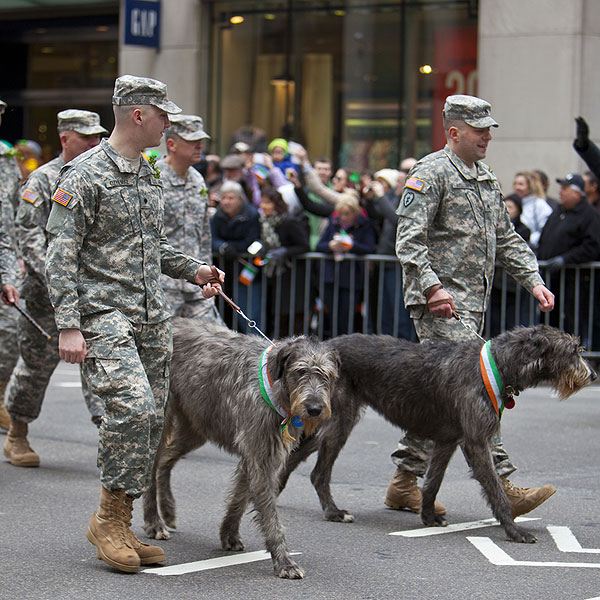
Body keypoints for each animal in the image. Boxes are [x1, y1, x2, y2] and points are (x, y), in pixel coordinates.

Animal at [141, 322, 338, 580]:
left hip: (197, 426)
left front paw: (229, 534)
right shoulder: (260, 451)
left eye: (327, 375)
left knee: (165, 459)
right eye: (300, 372)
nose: (315, 409)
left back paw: (168, 508)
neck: (276, 386)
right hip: (162, 415)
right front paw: (284, 561)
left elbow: (240, 497)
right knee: (152, 463)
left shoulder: (258, 450)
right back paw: (154, 521)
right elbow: (270, 514)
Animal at [278, 326, 592, 548]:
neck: (497, 365)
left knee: (296, 452)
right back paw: (333, 511)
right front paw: (514, 530)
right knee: (318, 472)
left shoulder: (448, 440)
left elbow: (433, 482)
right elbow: (495, 489)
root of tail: (322, 349)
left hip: (325, 417)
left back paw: (277, 489)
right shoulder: (476, 441)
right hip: (337, 421)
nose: (593, 375)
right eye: (573, 351)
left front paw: (428, 516)